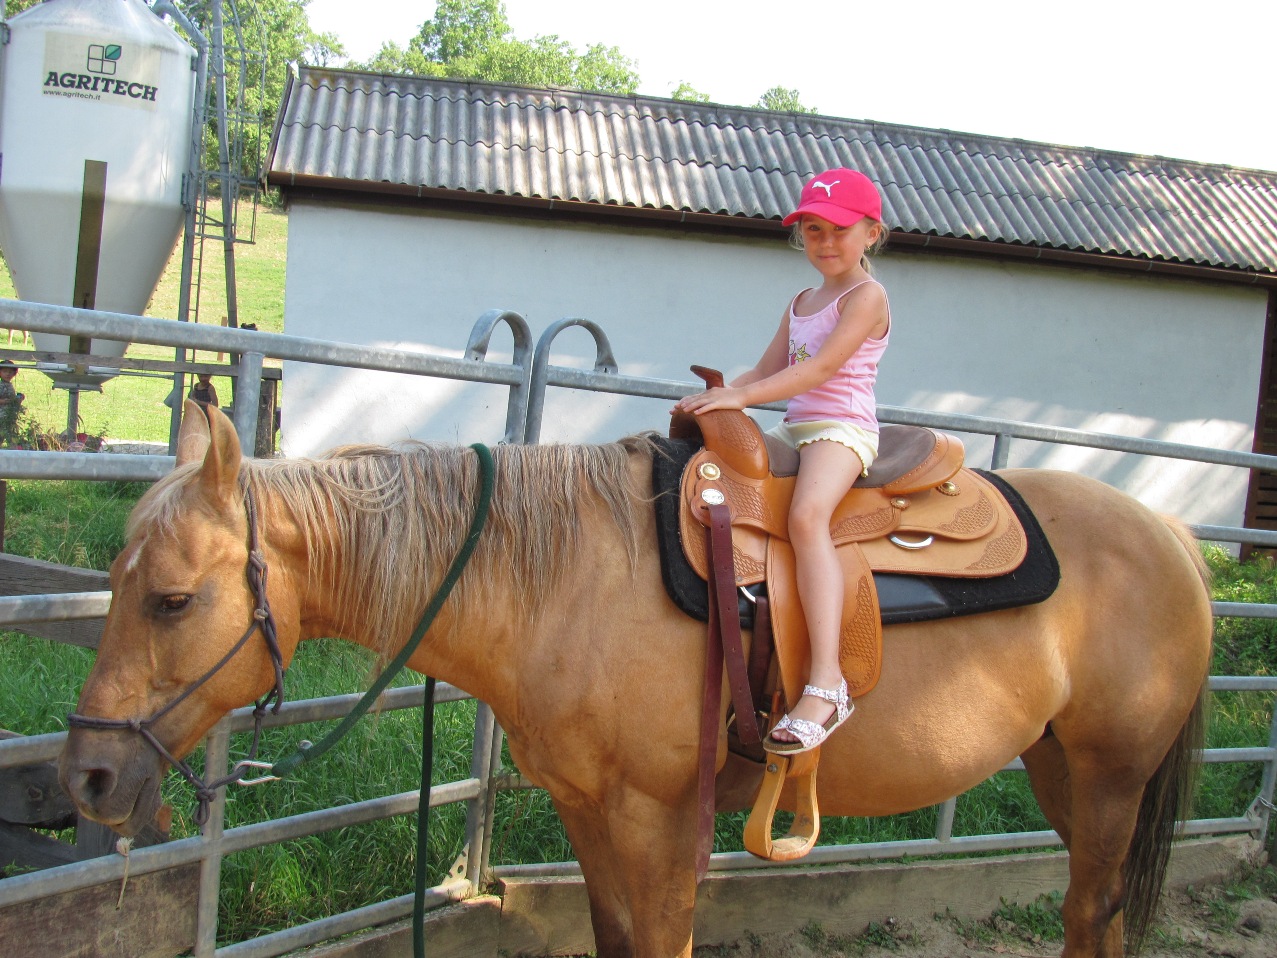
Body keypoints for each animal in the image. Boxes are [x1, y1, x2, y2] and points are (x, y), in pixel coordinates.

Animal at [59, 402, 1213, 958]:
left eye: (171, 599)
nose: (87, 779)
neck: (563, 578)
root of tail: (1173, 538)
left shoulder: (661, 822)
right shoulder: (586, 810)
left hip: (1110, 777)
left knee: (1088, 914)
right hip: (1063, 774)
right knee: (1101, 918)